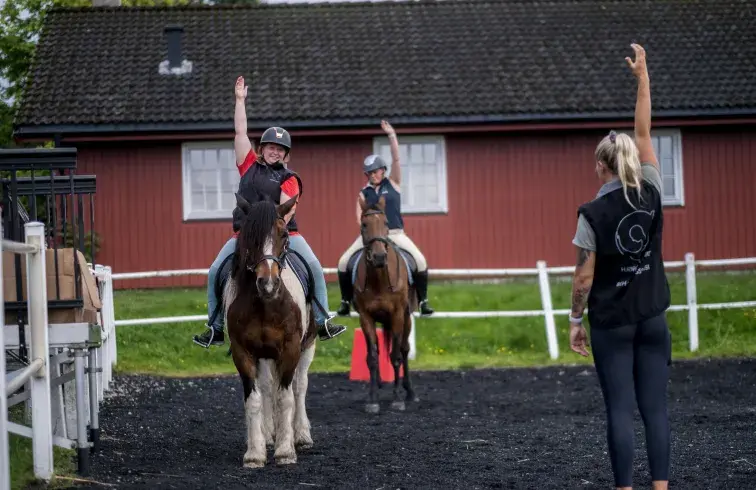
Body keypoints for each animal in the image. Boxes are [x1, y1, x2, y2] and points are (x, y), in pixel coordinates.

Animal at [224, 190, 318, 468]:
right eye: (249, 236)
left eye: (284, 234)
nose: (268, 283)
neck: (266, 303)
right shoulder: (242, 352)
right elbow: (254, 399)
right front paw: (255, 453)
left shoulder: (291, 349)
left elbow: (286, 397)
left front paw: (286, 451)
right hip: (264, 355)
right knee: (266, 388)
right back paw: (268, 435)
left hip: (308, 347)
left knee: (300, 386)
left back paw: (301, 435)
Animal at [352, 195, 420, 414]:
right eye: (364, 224)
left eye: (386, 223)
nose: (379, 257)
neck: (379, 279)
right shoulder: (366, 317)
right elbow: (373, 358)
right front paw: (372, 399)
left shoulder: (398, 315)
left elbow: (396, 356)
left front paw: (397, 399)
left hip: (406, 319)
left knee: (404, 350)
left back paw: (410, 392)